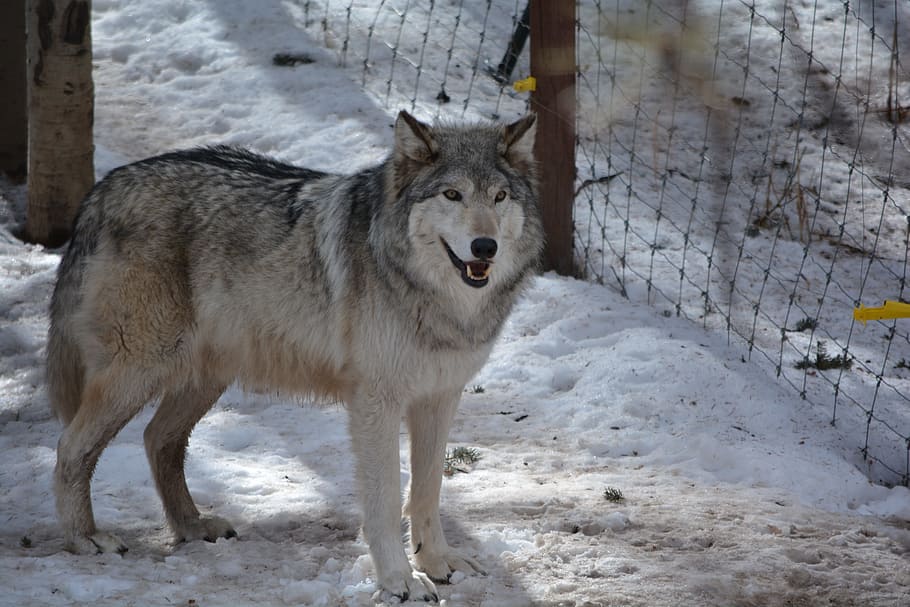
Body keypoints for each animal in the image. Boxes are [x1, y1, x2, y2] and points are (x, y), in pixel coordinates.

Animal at [47, 110, 542, 602]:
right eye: (452, 194)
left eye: (499, 197)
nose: (485, 247)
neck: (438, 300)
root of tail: (104, 188)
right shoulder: (376, 403)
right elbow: (384, 501)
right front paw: (398, 579)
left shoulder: (439, 398)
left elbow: (427, 490)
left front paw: (437, 563)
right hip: (140, 372)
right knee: (71, 446)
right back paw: (85, 538)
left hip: (204, 378)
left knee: (157, 440)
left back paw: (191, 526)